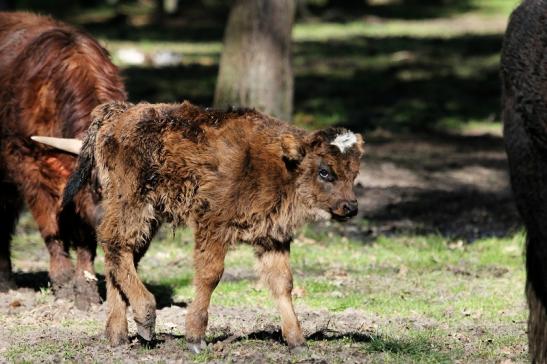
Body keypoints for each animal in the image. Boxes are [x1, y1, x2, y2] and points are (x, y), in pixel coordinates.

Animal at [0, 12, 126, 308]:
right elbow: (51, 227)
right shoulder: (28, 167)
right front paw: (63, 282)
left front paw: (86, 289)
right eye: (100, 186)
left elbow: (85, 235)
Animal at [62, 101, 366, 352]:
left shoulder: (272, 238)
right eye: (324, 171)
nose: (351, 207)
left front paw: (297, 341)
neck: (281, 162)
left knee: (122, 255)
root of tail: (117, 113)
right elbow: (210, 275)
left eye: (354, 172)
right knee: (115, 242)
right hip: (133, 202)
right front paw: (196, 338)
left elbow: (282, 284)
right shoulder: (214, 226)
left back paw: (119, 335)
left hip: (148, 215)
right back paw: (146, 318)